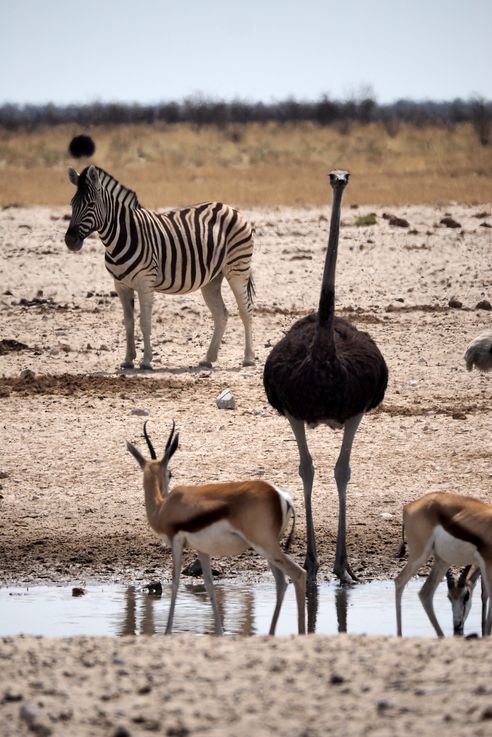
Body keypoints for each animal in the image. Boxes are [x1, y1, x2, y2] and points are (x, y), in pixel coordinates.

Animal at [64, 165, 256, 368]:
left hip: (237, 268)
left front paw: (146, 361)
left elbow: (144, 323)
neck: (122, 236)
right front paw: (128, 359)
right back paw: (208, 359)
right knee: (221, 314)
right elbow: (129, 322)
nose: (70, 241)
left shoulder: (145, 283)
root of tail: (229, 207)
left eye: (91, 205)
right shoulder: (121, 285)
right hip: (212, 278)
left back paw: (248, 358)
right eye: (72, 204)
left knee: (246, 310)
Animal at [127, 422, 306, 636]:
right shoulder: (202, 550)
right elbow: (209, 585)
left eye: (170, 473)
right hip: (269, 548)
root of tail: (281, 496)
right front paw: (219, 632)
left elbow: (176, 582)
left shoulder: (176, 542)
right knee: (281, 581)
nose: (166, 490)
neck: (163, 508)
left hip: (265, 546)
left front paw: (167, 632)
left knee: (298, 574)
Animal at [396, 492, 492, 636]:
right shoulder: (486, 563)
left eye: (466, 596)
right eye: (449, 597)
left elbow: (485, 595)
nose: (457, 625)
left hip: (442, 561)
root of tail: (408, 507)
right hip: (420, 555)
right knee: (400, 581)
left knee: (425, 592)